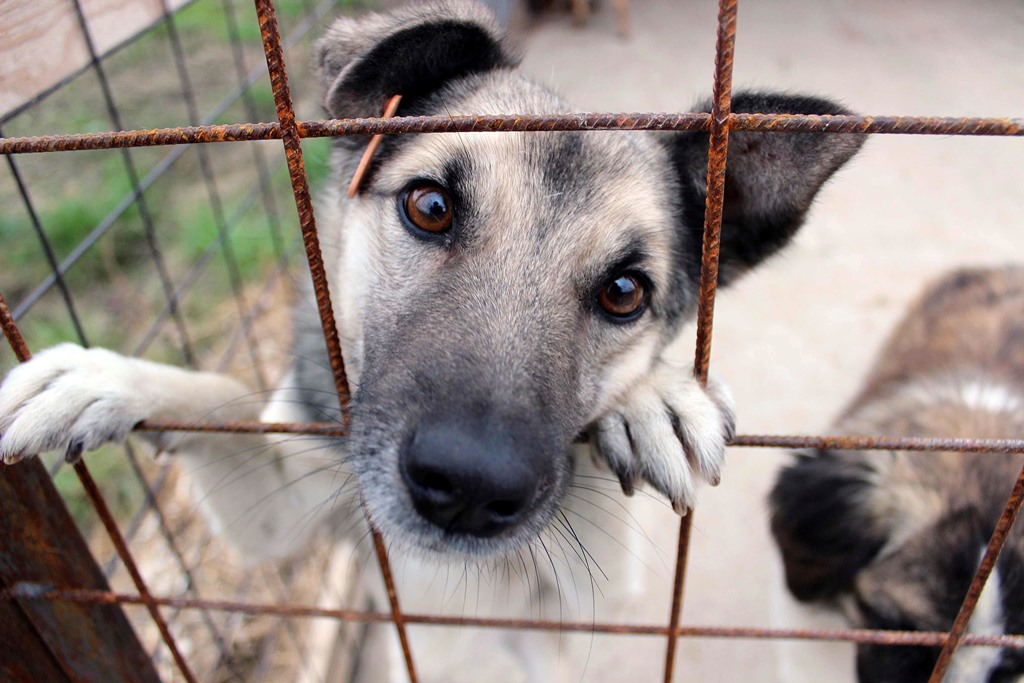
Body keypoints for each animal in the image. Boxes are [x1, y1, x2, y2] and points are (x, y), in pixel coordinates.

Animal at [0, 2, 864, 679]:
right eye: (429, 206)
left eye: (625, 292)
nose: (470, 487)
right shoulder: (281, 517)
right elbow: (225, 398)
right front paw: (103, 378)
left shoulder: (578, 601)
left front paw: (652, 396)